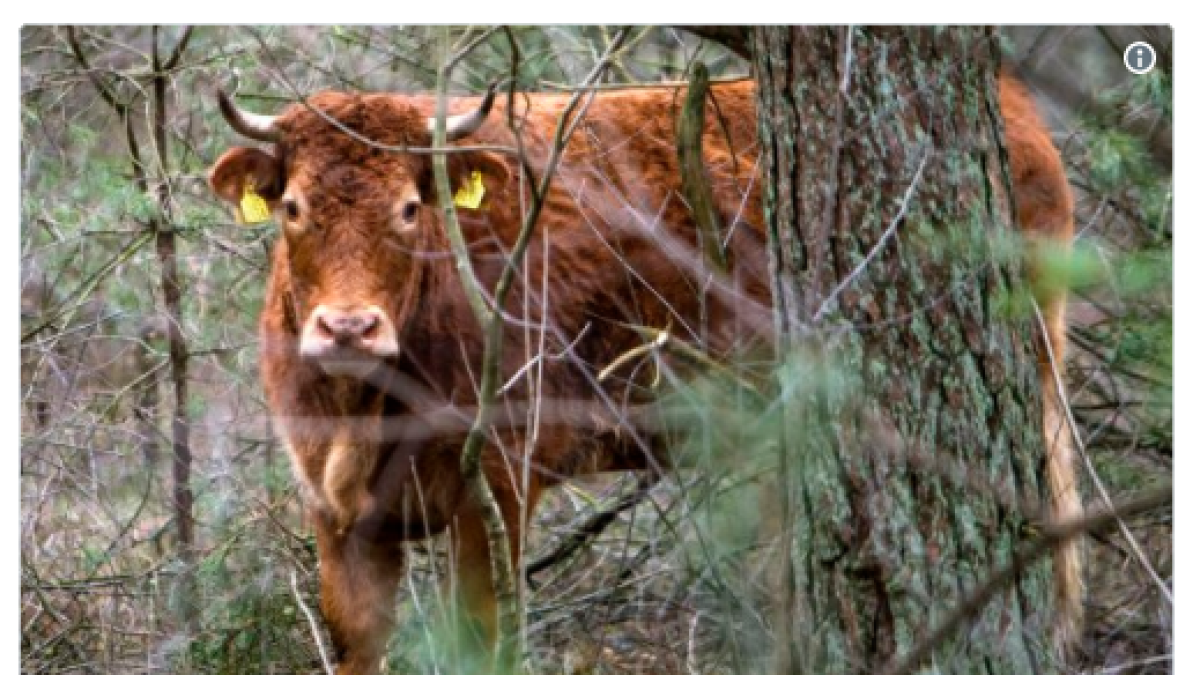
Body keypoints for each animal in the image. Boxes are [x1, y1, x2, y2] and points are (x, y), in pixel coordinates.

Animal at [208, 72, 1079, 674]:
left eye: (410, 209)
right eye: (292, 207)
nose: (348, 327)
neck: (364, 407)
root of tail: (1016, 109)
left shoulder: (499, 485)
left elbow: (483, 632)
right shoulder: (337, 514)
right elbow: (357, 642)